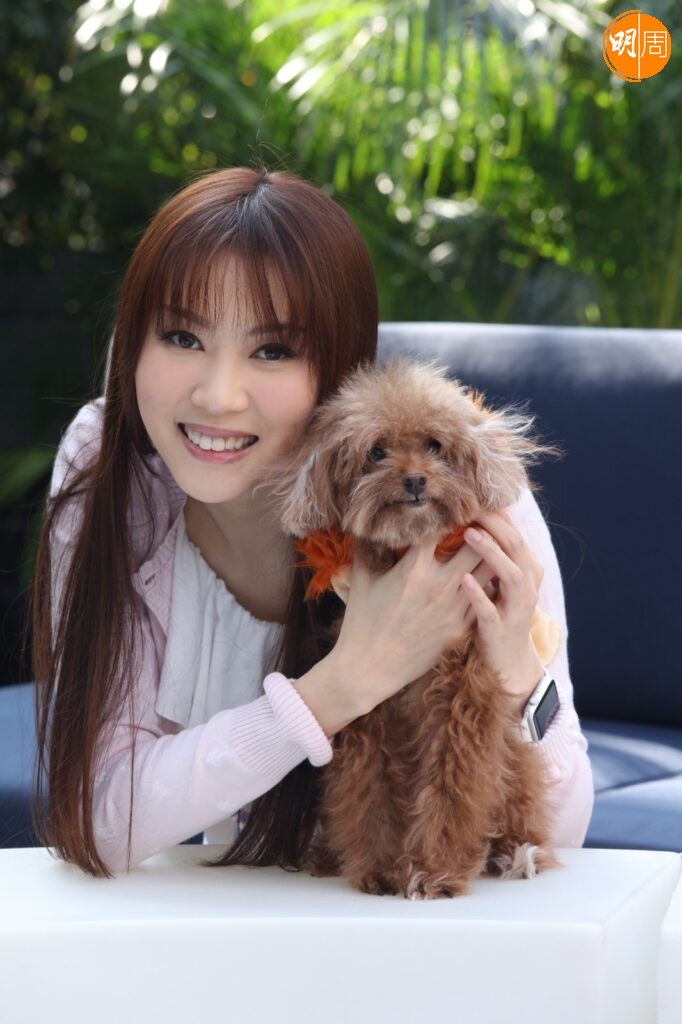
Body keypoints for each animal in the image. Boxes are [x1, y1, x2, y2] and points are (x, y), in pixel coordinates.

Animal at [273, 358, 560, 899]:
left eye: (434, 445)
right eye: (376, 451)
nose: (414, 481)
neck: (411, 549)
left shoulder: (463, 700)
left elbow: (453, 787)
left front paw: (435, 871)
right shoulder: (370, 710)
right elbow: (368, 789)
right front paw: (378, 868)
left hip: (514, 757)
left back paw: (519, 853)